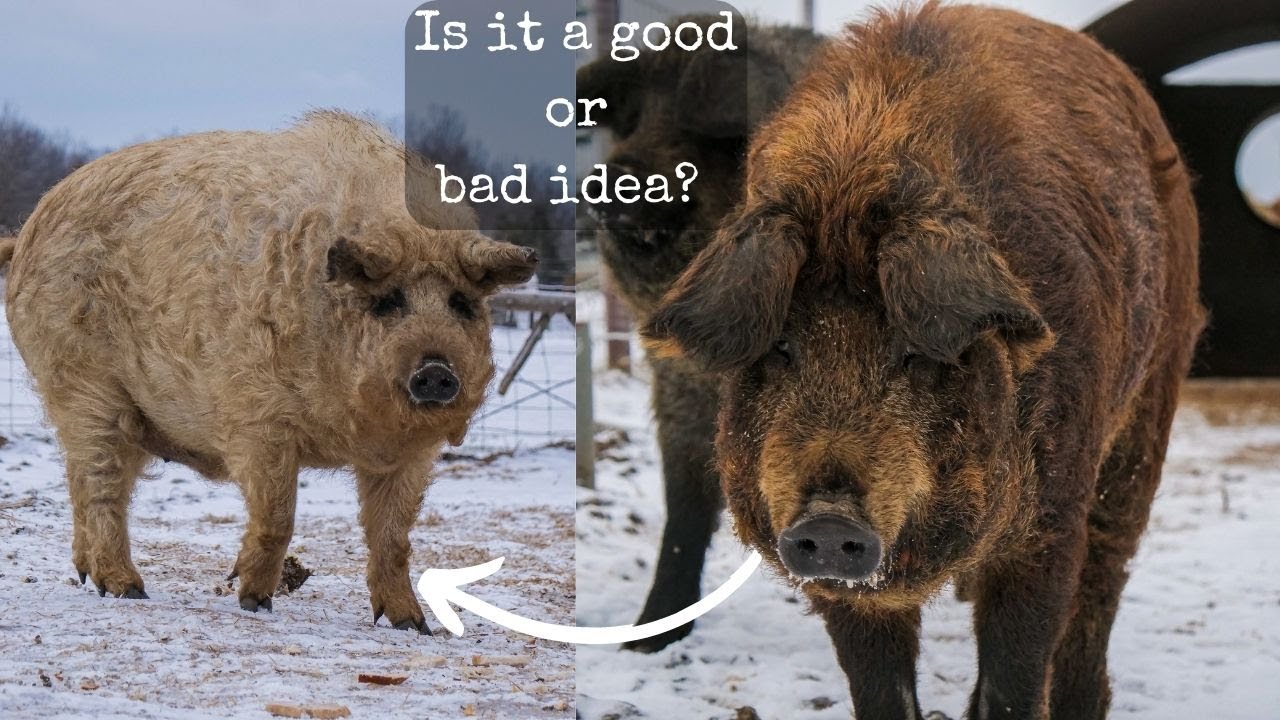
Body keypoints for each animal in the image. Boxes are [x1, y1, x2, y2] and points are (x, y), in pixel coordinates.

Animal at [1, 111, 537, 632]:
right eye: (389, 301)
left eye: (461, 303)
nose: (436, 371)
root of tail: (31, 228)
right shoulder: (256, 417)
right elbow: (278, 513)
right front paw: (253, 600)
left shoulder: (413, 454)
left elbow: (393, 535)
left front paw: (412, 625)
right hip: (85, 384)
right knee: (102, 485)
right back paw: (129, 588)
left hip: (131, 411)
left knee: (84, 479)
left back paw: (89, 576)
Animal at [577, 17, 822, 651]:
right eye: (633, 117)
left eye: (709, 132)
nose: (610, 176)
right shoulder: (678, 387)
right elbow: (684, 505)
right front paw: (644, 641)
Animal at [644, 4, 1204, 718]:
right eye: (781, 347)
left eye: (911, 350)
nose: (829, 519)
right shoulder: (842, 580)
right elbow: (878, 684)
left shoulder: (1051, 521)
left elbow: (1016, 672)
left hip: (1146, 412)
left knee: (1103, 579)